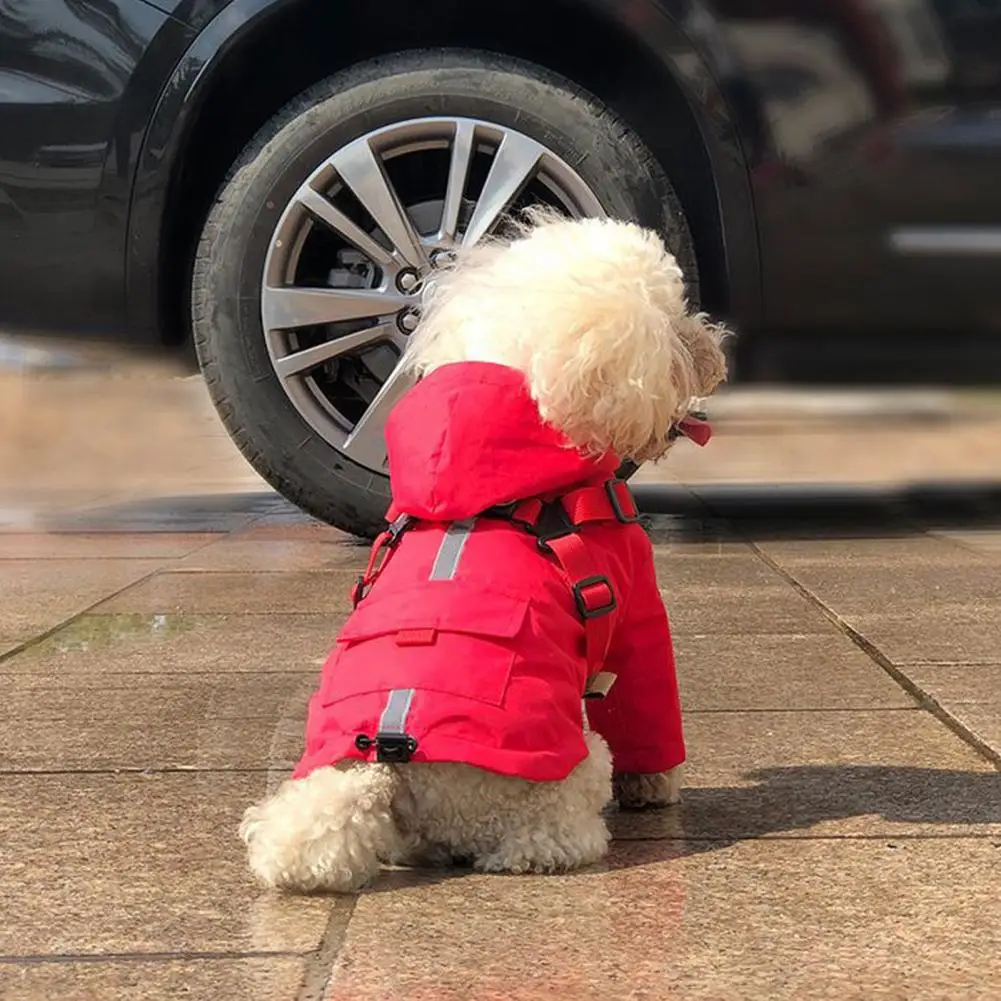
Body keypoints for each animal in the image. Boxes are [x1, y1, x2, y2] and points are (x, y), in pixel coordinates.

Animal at [240, 209, 728, 892]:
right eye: (675, 321)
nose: (716, 347)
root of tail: (388, 764)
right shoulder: (637, 610)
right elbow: (646, 703)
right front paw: (655, 787)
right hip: (571, 774)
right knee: (547, 836)